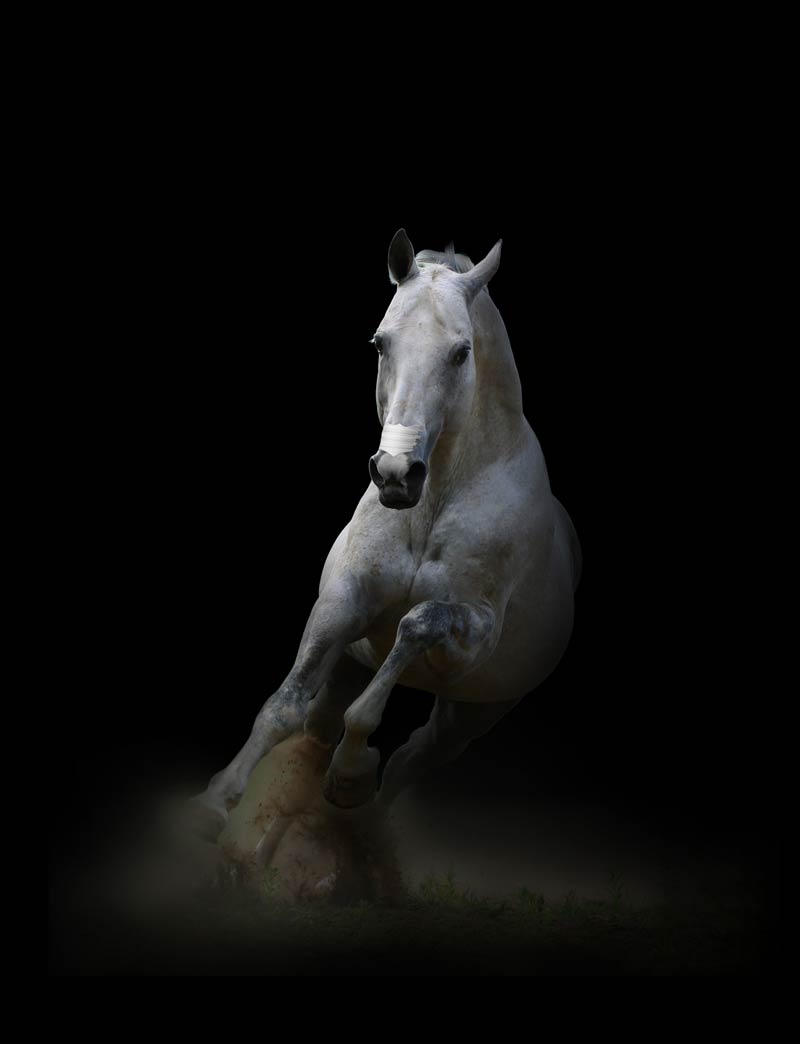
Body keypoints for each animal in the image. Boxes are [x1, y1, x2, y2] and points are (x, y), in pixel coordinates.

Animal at [191, 229, 581, 840]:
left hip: (471, 713)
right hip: (353, 664)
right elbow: (284, 706)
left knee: (412, 757)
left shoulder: (472, 633)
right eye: (379, 343)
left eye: (462, 352)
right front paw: (212, 805)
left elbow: (413, 629)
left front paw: (350, 775)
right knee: (319, 730)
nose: (397, 474)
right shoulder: (342, 603)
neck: (431, 506)